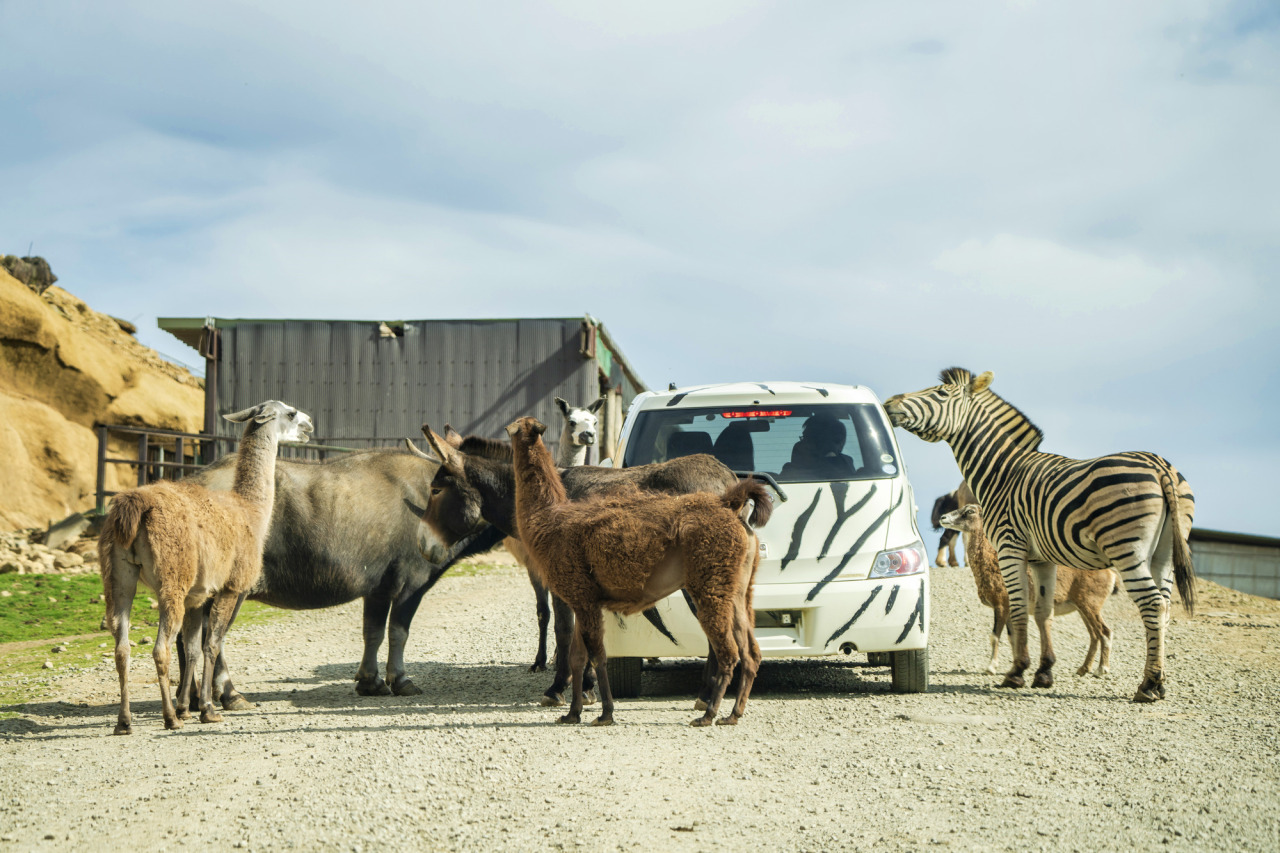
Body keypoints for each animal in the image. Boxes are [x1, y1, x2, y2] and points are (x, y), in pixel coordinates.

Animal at [885, 368, 1192, 701]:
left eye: (940, 393)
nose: (888, 403)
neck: (1001, 472)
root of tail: (1160, 466)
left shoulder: (1010, 547)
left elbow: (1019, 610)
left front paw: (1016, 672)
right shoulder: (1043, 558)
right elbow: (1044, 613)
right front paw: (1044, 672)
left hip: (1126, 548)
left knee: (1152, 604)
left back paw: (1148, 684)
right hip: (1165, 552)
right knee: (1164, 605)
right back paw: (1158, 682)